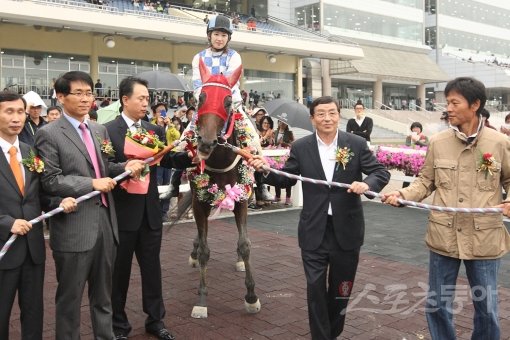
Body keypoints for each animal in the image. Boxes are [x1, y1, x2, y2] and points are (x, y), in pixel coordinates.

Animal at [187, 59, 260, 318]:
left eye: (228, 101)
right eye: (201, 98)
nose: (206, 143)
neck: (219, 159)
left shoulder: (241, 199)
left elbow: (245, 244)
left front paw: (251, 296)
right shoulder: (199, 201)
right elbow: (205, 249)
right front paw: (201, 299)